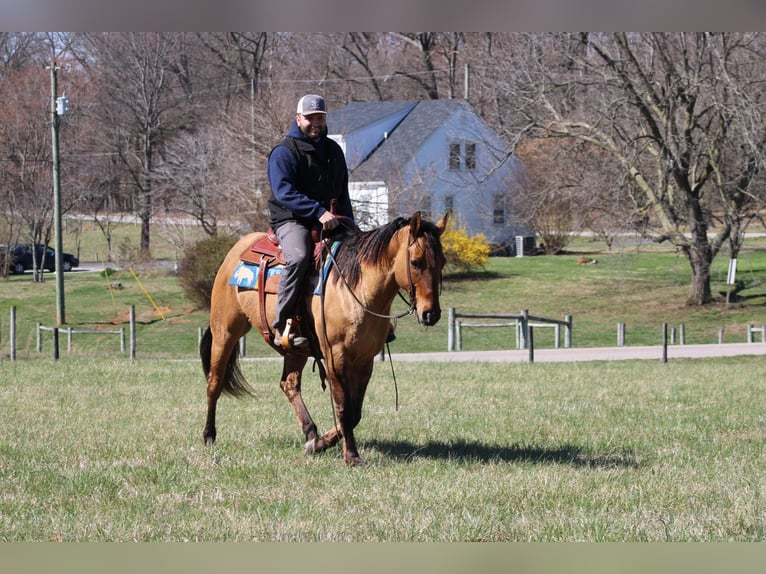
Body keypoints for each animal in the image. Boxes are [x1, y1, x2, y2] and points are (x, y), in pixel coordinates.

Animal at [201, 212, 450, 468]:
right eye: (415, 262)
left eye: (442, 262)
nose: (431, 314)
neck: (357, 289)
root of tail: (236, 251)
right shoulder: (335, 357)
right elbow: (343, 408)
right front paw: (351, 456)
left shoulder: (365, 361)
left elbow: (355, 412)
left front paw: (319, 445)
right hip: (225, 332)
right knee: (214, 382)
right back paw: (209, 435)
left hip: (295, 350)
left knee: (289, 384)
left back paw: (311, 433)